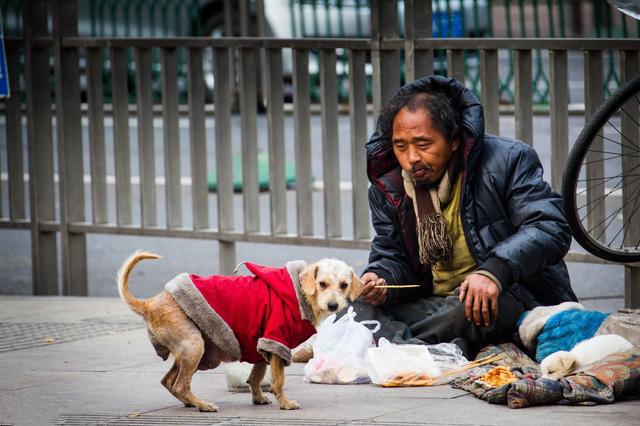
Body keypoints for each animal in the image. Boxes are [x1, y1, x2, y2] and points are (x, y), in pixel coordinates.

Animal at [117, 251, 362, 412]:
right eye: (322, 284)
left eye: (343, 285)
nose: (333, 305)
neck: (299, 294)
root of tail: (149, 303)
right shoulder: (275, 340)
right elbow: (278, 380)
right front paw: (285, 403)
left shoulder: (263, 346)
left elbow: (256, 376)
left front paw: (259, 397)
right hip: (194, 345)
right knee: (180, 384)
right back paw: (202, 405)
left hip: (188, 349)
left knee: (169, 381)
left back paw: (190, 402)